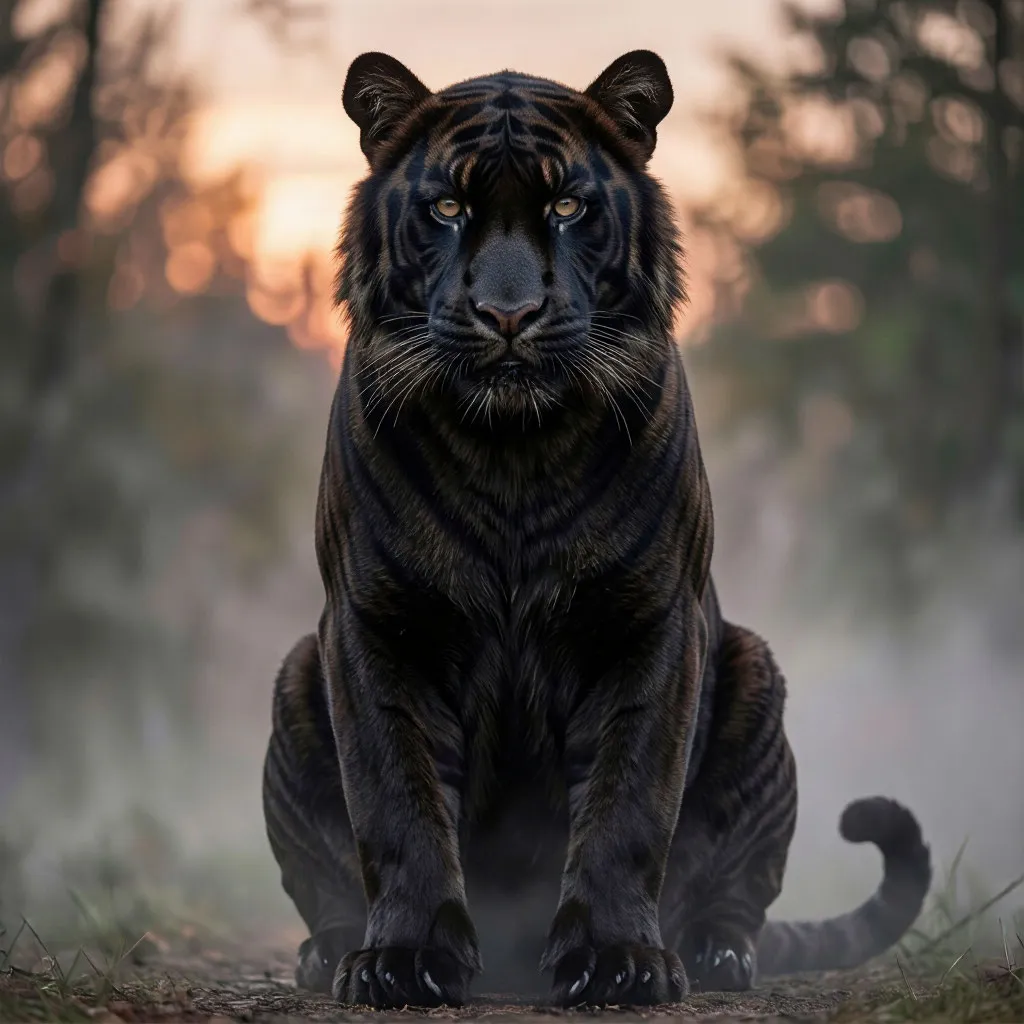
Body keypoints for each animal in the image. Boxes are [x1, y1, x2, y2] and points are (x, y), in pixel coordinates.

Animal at [261, 49, 932, 1009]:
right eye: (449, 208)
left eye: (568, 207)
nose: (508, 314)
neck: (511, 451)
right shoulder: (376, 627)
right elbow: (396, 803)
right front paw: (403, 960)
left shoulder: (647, 626)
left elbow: (628, 806)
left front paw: (618, 962)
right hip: (296, 674)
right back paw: (331, 952)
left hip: (755, 677)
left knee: (738, 895)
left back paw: (714, 956)